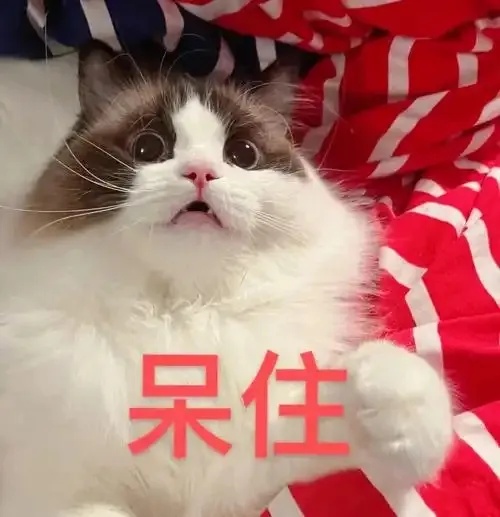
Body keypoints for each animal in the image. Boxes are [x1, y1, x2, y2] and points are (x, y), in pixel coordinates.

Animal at [0, 41, 453, 517]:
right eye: (148, 148)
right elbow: (98, 511)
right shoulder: (48, 493)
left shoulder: (239, 485)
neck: (182, 315)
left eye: (242, 156)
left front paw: (389, 396)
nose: (201, 172)